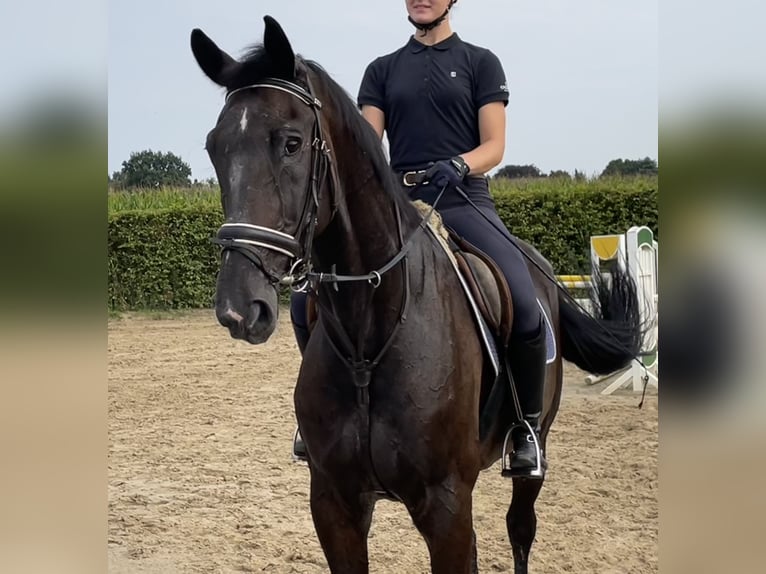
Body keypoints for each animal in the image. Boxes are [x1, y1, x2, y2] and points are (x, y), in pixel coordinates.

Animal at [189, 15, 644, 572]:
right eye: (215, 147)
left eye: (291, 143)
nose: (238, 308)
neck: (371, 336)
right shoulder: (335, 505)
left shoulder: (445, 506)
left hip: (535, 450)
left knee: (520, 528)